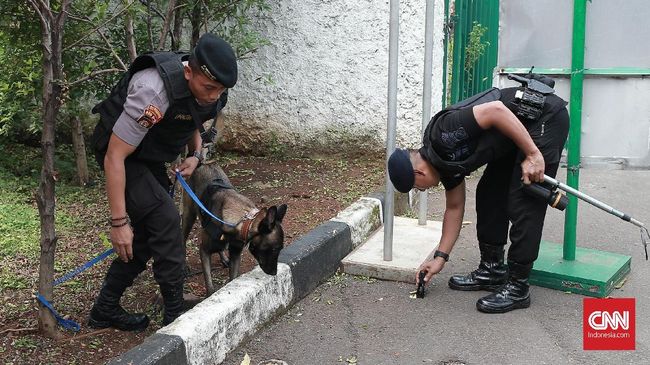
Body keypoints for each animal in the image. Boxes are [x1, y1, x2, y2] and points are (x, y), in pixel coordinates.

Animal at [180, 161, 286, 292]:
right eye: (275, 249)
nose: (274, 273)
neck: (242, 221)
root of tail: (202, 163)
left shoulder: (235, 254)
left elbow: (233, 278)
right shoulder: (204, 251)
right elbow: (209, 284)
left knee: (220, 246)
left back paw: (224, 258)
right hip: (188, 217)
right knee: (182, 239)